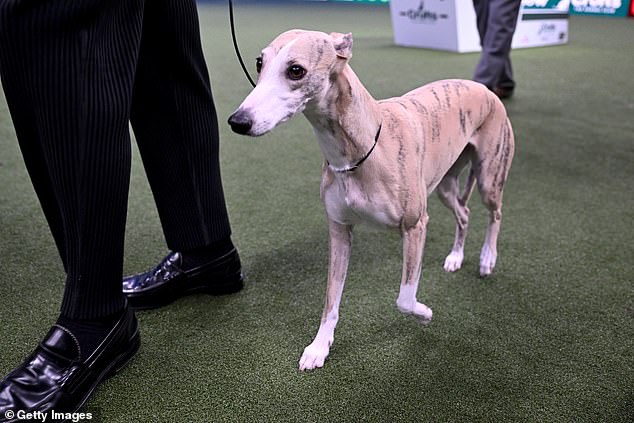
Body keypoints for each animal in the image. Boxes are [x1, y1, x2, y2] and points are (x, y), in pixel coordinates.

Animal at [227, 30, 512, 372]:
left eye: (296, 70)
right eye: (259, 62)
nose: (237, 121)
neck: (359, 149)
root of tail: (483, 88)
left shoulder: (415, 225)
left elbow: (404, 298)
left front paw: (424, 314)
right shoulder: (339, 230)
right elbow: (330, 299)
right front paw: (319, 347)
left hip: (489, 177)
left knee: (495, 214)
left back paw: (487, 258)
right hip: (445, 185)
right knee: (465, 213)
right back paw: (456, 256)